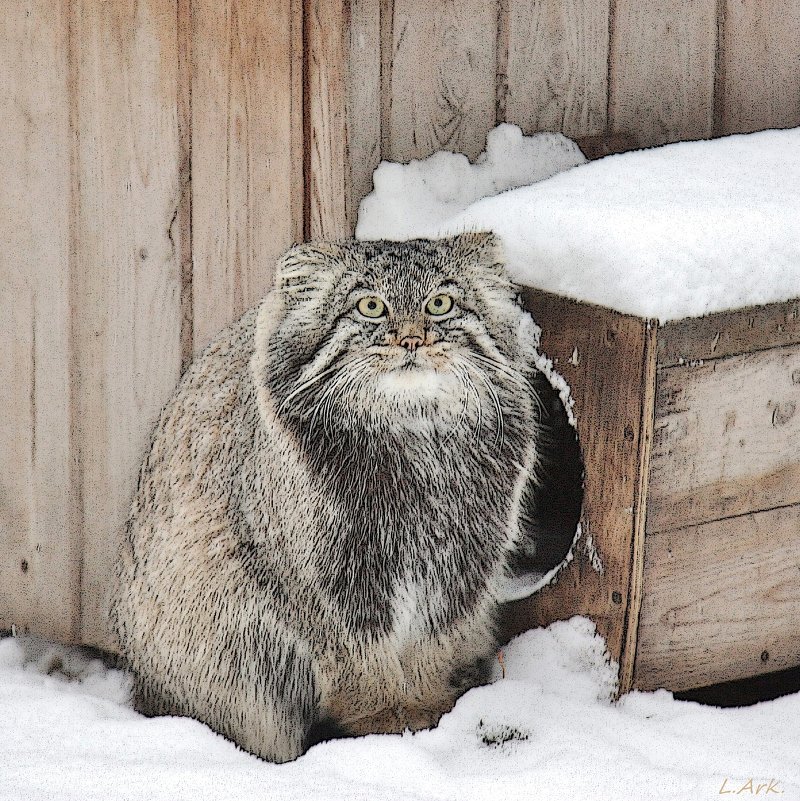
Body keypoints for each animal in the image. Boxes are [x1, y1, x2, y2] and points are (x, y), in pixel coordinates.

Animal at [109, 231, 580, 764]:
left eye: (440, 303)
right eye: (370, 306)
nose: (412, 339)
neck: (414, 435)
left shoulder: (460, 565)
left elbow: (428, 645)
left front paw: (426, 708)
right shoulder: (320, 580)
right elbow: (355, 660)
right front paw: (382, 721)